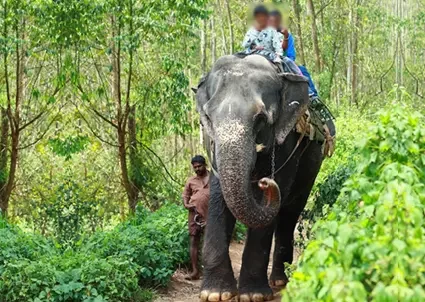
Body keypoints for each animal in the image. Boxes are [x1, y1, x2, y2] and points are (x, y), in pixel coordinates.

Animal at [194, 54, 322, 302]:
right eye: (209, 118)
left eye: (261, 118)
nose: (264, 183)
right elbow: (218, 195)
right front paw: (216, 293)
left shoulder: (287, 140)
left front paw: (253, 295)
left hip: (312, 163)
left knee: (289, 212)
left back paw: (280, 280)